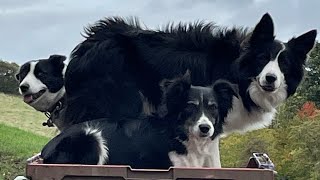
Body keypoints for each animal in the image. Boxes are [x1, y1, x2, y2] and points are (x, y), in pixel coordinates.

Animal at [66, 12, 316, 135]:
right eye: (262, 58)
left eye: (284, 64)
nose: (270, 79)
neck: (237, 70)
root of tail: (86, 45)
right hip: (122, 101)